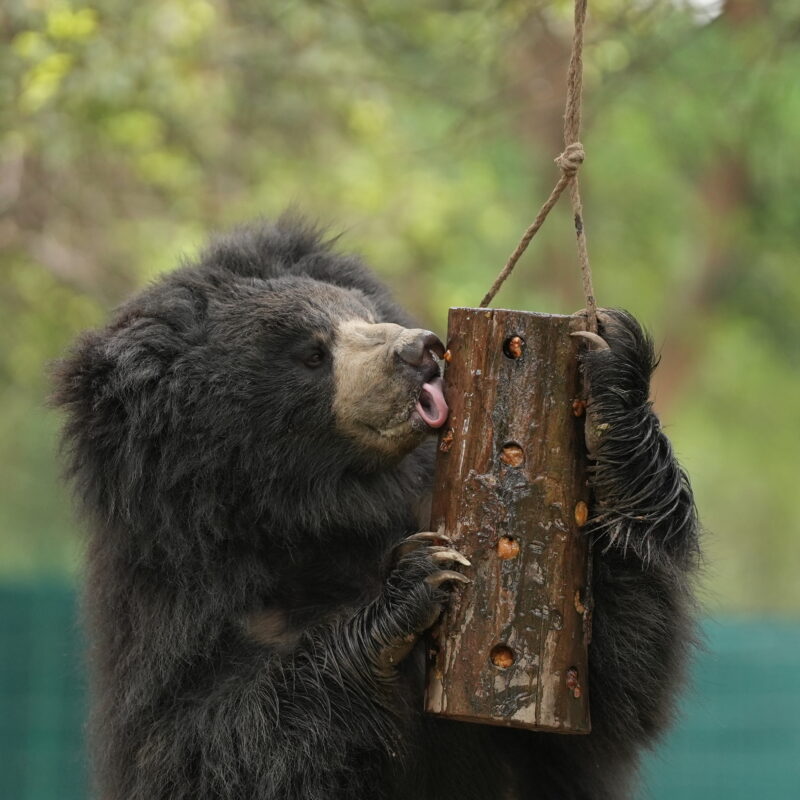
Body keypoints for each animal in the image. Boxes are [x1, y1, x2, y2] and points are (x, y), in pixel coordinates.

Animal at [53, 216, 699, 800]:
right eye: (311, 355)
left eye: (362, 312)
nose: (421, 349)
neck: (327, 513)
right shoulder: (173, 602)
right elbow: (199, 751)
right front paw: (414, 584)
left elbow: (615, 683)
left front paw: (612, 373)